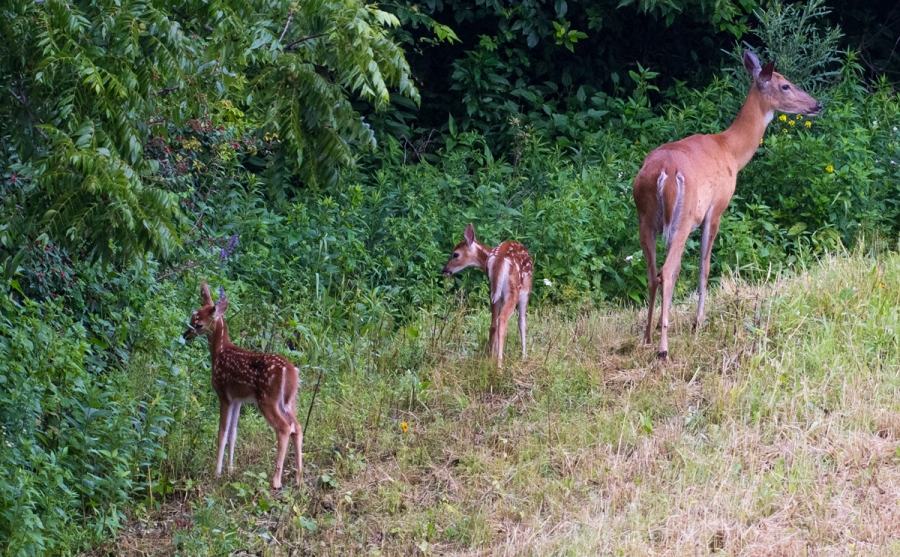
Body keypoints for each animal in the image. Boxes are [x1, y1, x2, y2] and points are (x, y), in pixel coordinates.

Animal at [183, 281, 302, 489]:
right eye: (191, 317)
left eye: (198, 324)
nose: (185, 335)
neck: (220, 352)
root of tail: (291, 372)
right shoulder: (238, 399)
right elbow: (233, 433)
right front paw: (230, 470)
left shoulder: (224, 394)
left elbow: (222, 433)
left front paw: (217, 473)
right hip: (288, 401)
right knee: (297, 426)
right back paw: (299, 478)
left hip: (267, 399)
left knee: (284, 428)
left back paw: (276, 480)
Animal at [442, 223, 534, 368]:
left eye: (455, 254)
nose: (444, 270)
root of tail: (499, 258)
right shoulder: (526, 291)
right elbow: (522, 322)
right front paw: (524, 357)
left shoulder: (498, 296)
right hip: (513, 291)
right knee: (503, 320)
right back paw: (499, 365)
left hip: (493, 292)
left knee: (493, 324)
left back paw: (491, 359)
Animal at [633, 50, 822, 361]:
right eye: (785, 85)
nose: (817, 104)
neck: (730, 150)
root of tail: (665, 173)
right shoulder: (717, 207)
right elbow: (705, 266)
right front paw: (699, 321)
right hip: (682, 217)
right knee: (667, 272)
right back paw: (663, 348)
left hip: (644, 218)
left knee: (652, 273)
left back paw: (648, 338)